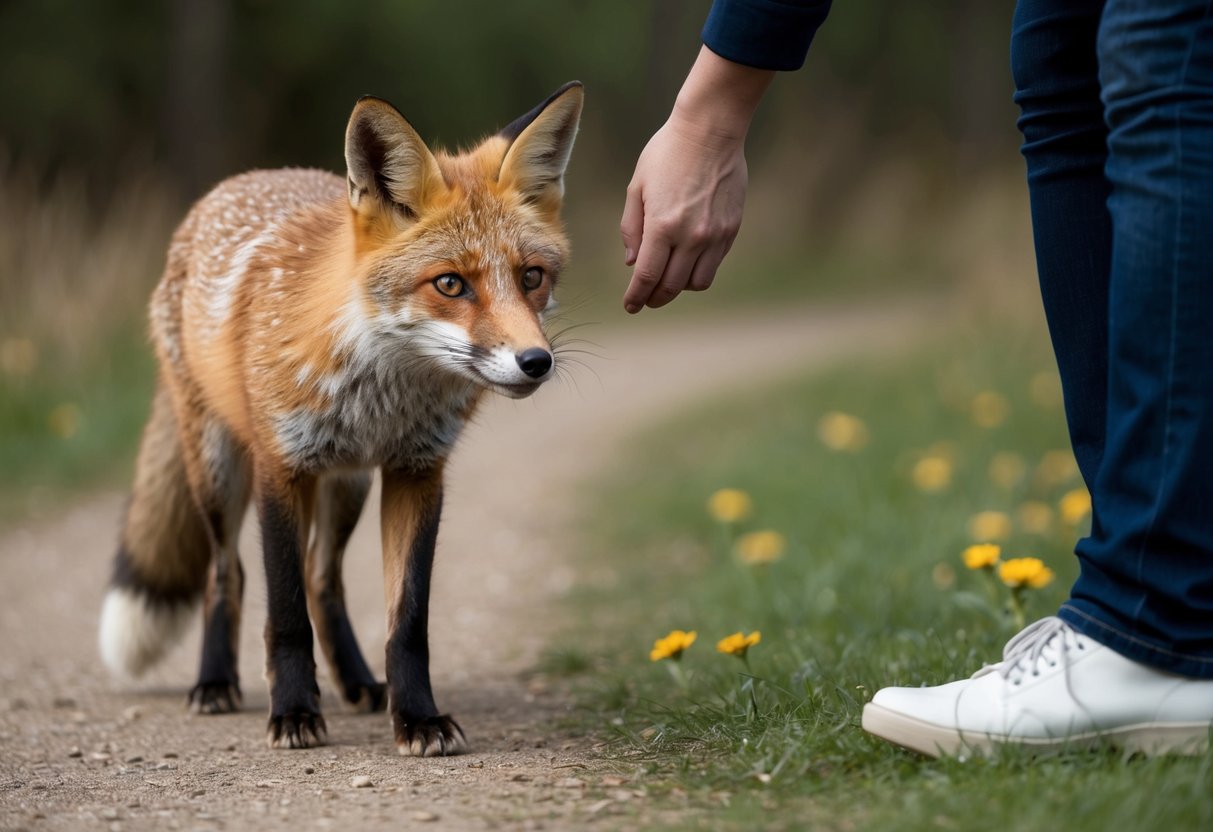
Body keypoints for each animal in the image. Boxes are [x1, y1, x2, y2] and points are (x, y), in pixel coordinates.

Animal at [97, 82, 584, 755]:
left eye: (531, 277)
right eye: (450, 284)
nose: (535, 362)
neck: (381, 395)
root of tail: (237, 182)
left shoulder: (417, 471)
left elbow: (406, 622)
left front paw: (417, 717)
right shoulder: (281, 468)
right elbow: (284, 615)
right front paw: (294, 712)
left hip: (347, 483)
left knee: (322, 578)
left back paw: (355, 683)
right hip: (221, 472)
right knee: (229, 574)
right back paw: (216, 682)